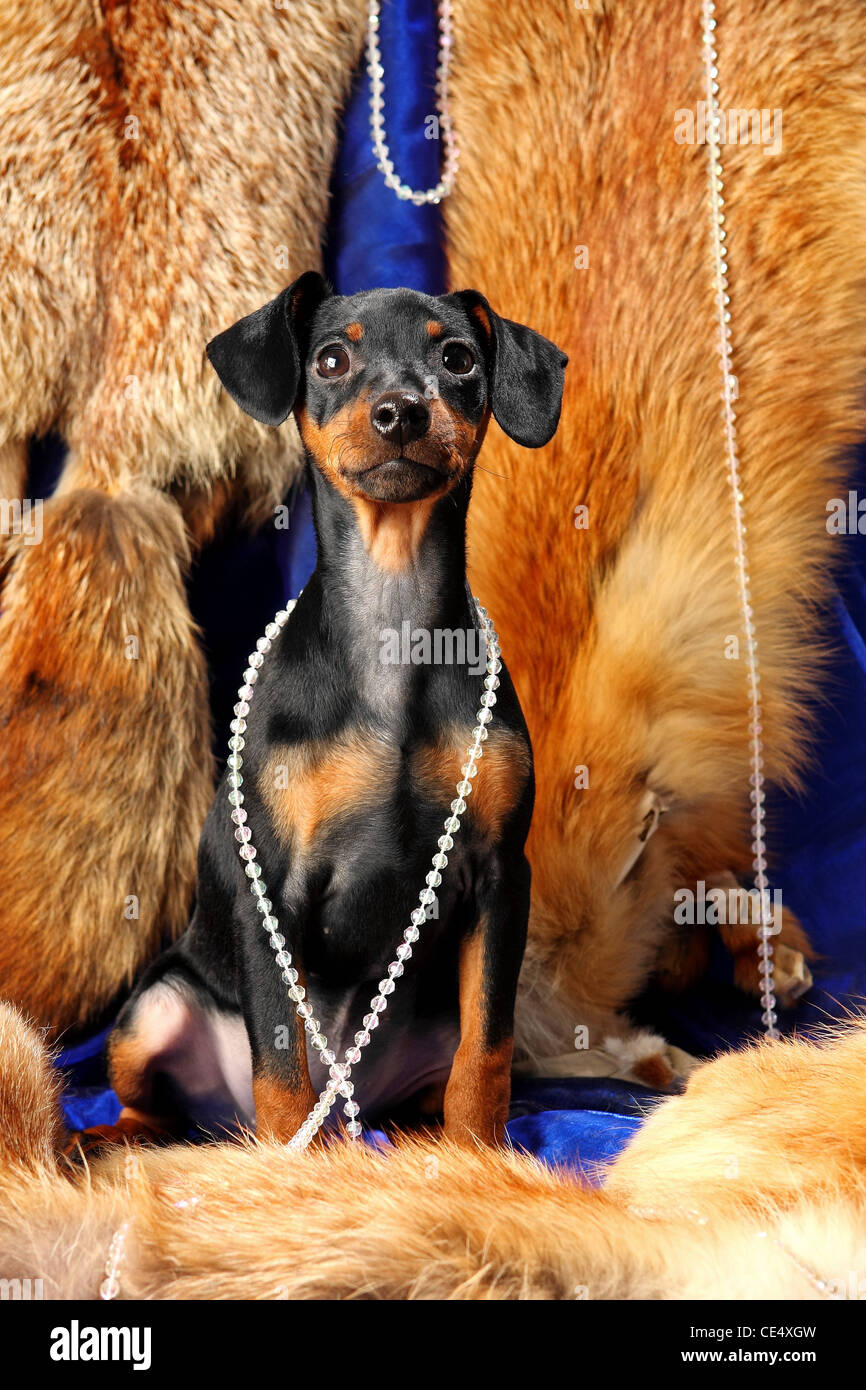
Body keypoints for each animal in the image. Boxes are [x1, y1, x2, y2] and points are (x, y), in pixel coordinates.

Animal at [96, 273, 569, 1150]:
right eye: (330, 360)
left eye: (458, 359)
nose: (401, 411)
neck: (392, 623)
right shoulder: (271, 889)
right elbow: (282, 1062)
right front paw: (289, 1168)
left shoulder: (499, 877)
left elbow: (489, 1046)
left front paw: (481, 1156)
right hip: (154, 1009)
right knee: (157, 1105)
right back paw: (105, 1140)